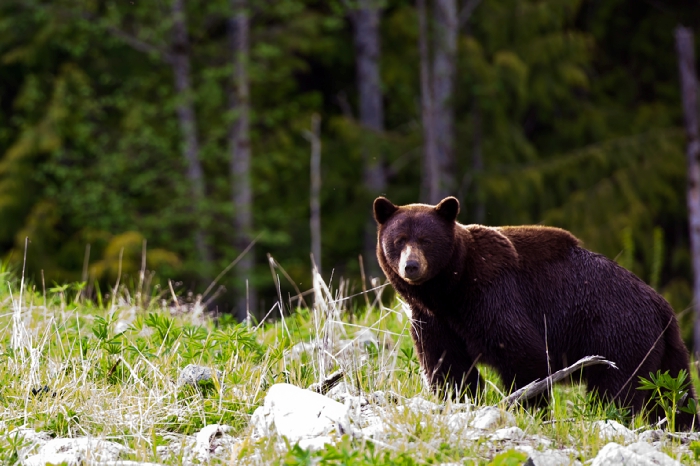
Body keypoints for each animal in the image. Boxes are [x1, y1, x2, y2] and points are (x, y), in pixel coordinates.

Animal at [374, 194, 696, 430]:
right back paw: (682, 424)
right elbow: (448, 364)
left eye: (426, 240)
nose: (411, 266)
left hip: (617, 334)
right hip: (663, 348)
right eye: (399, 239)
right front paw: (457, 398)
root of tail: (661, 305)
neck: (451, 290)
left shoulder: (493, 295)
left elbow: (523, 355)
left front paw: (530, 408)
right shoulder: (432, 318)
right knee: (675, 389)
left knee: (619, 389)